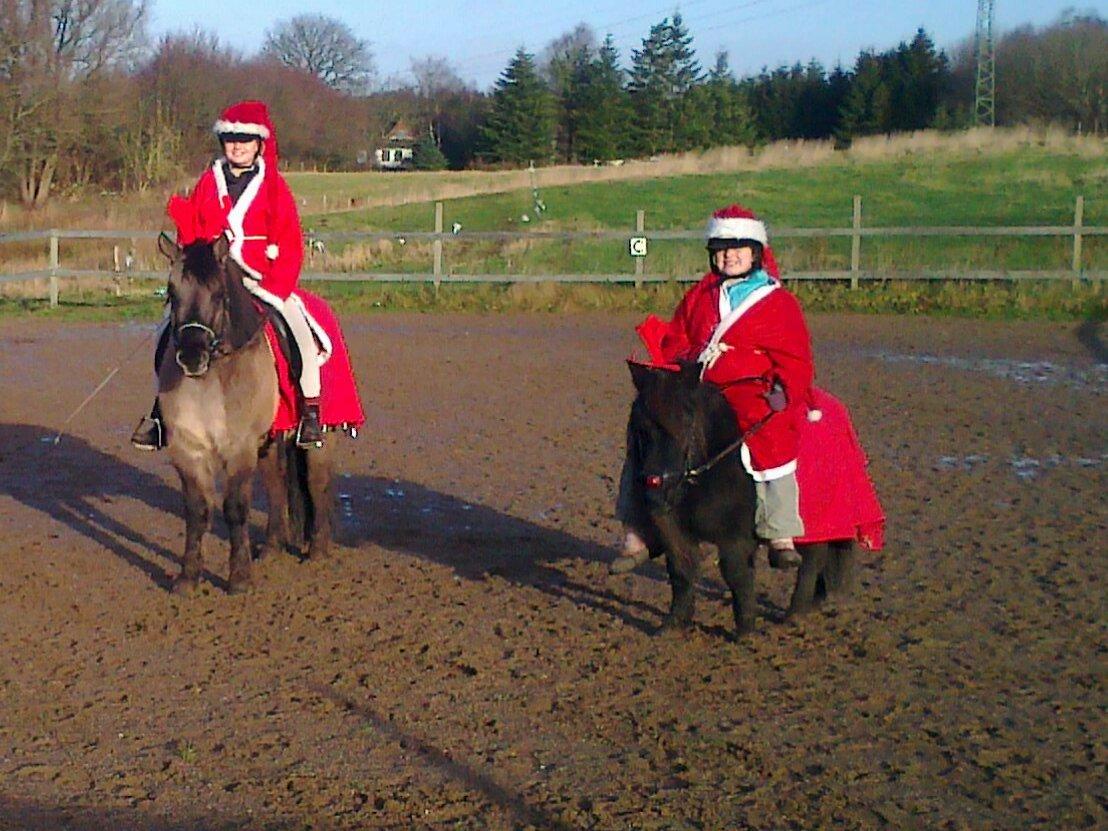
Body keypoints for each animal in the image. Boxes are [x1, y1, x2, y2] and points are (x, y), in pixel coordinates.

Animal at [624, 361, 855, 642]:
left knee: (812, 560)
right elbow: (681, 570)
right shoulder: (675, 531)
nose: (655, 489)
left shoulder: (736, 539)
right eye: (639, 425)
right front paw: (674, 623)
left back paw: (795, 613)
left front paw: (746, 629)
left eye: (686, 419)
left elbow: (736, 574)